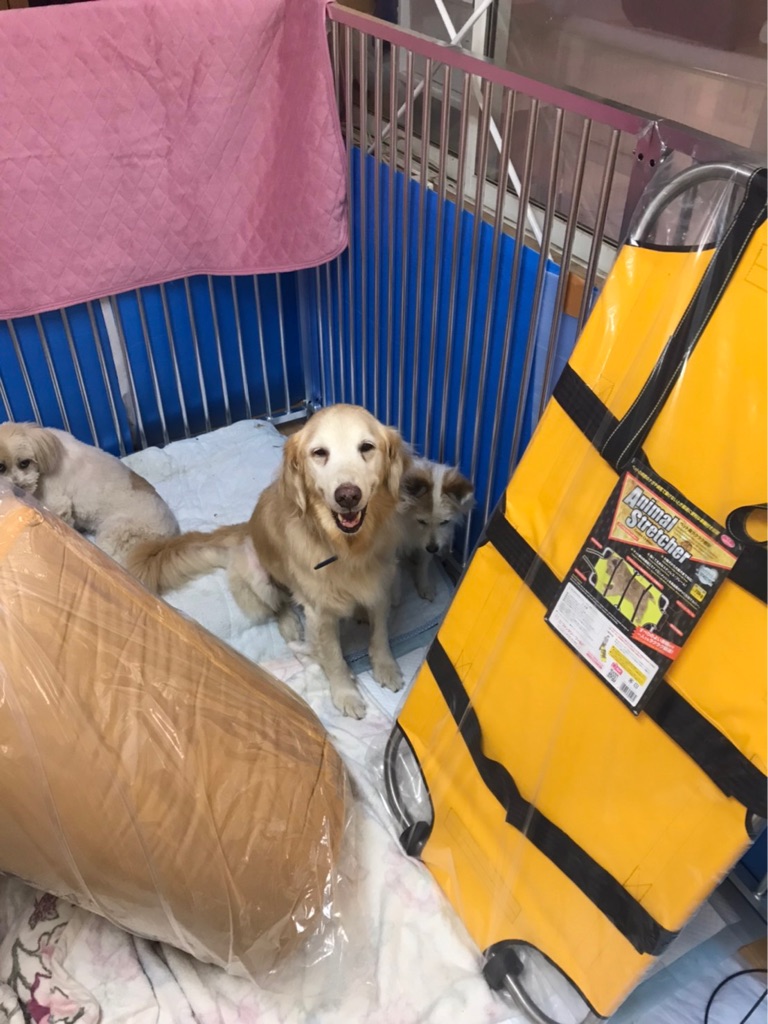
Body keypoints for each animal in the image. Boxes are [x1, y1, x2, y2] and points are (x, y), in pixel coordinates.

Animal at [0, 421, 220, 590]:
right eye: (2, 468)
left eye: (24, 463)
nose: (18, 485)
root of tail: (166, 540)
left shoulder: (57, 502)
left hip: (116, 532)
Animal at [398, 458, 474, 600]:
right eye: (421, 521)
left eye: (445, 522)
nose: (433, 549)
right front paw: (394, 597)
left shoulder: (426, 546)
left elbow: (423, 565)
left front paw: (424, 586)